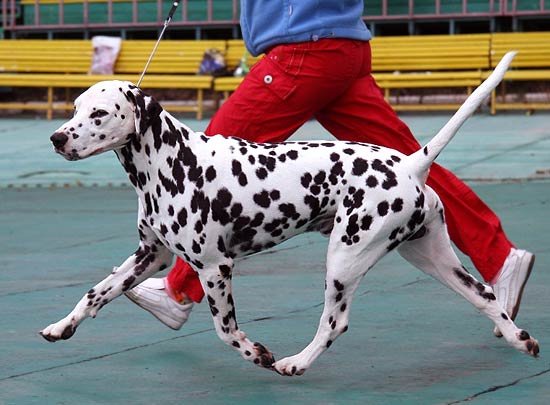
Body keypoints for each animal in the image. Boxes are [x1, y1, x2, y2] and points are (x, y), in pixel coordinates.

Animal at [42, 52, 540, 376]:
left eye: (100, 113)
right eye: (75, 108)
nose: (57, 138)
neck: (172, 162)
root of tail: (410, 164)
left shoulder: (214, 267)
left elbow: (225, 329)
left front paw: (256, 353)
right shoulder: (152, 256)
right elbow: (95, 294)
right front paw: (62, 326)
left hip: (344, 259)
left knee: (334, 322)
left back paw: (296, 362)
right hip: (432, 258)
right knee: (486, 297)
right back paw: (521, 339)